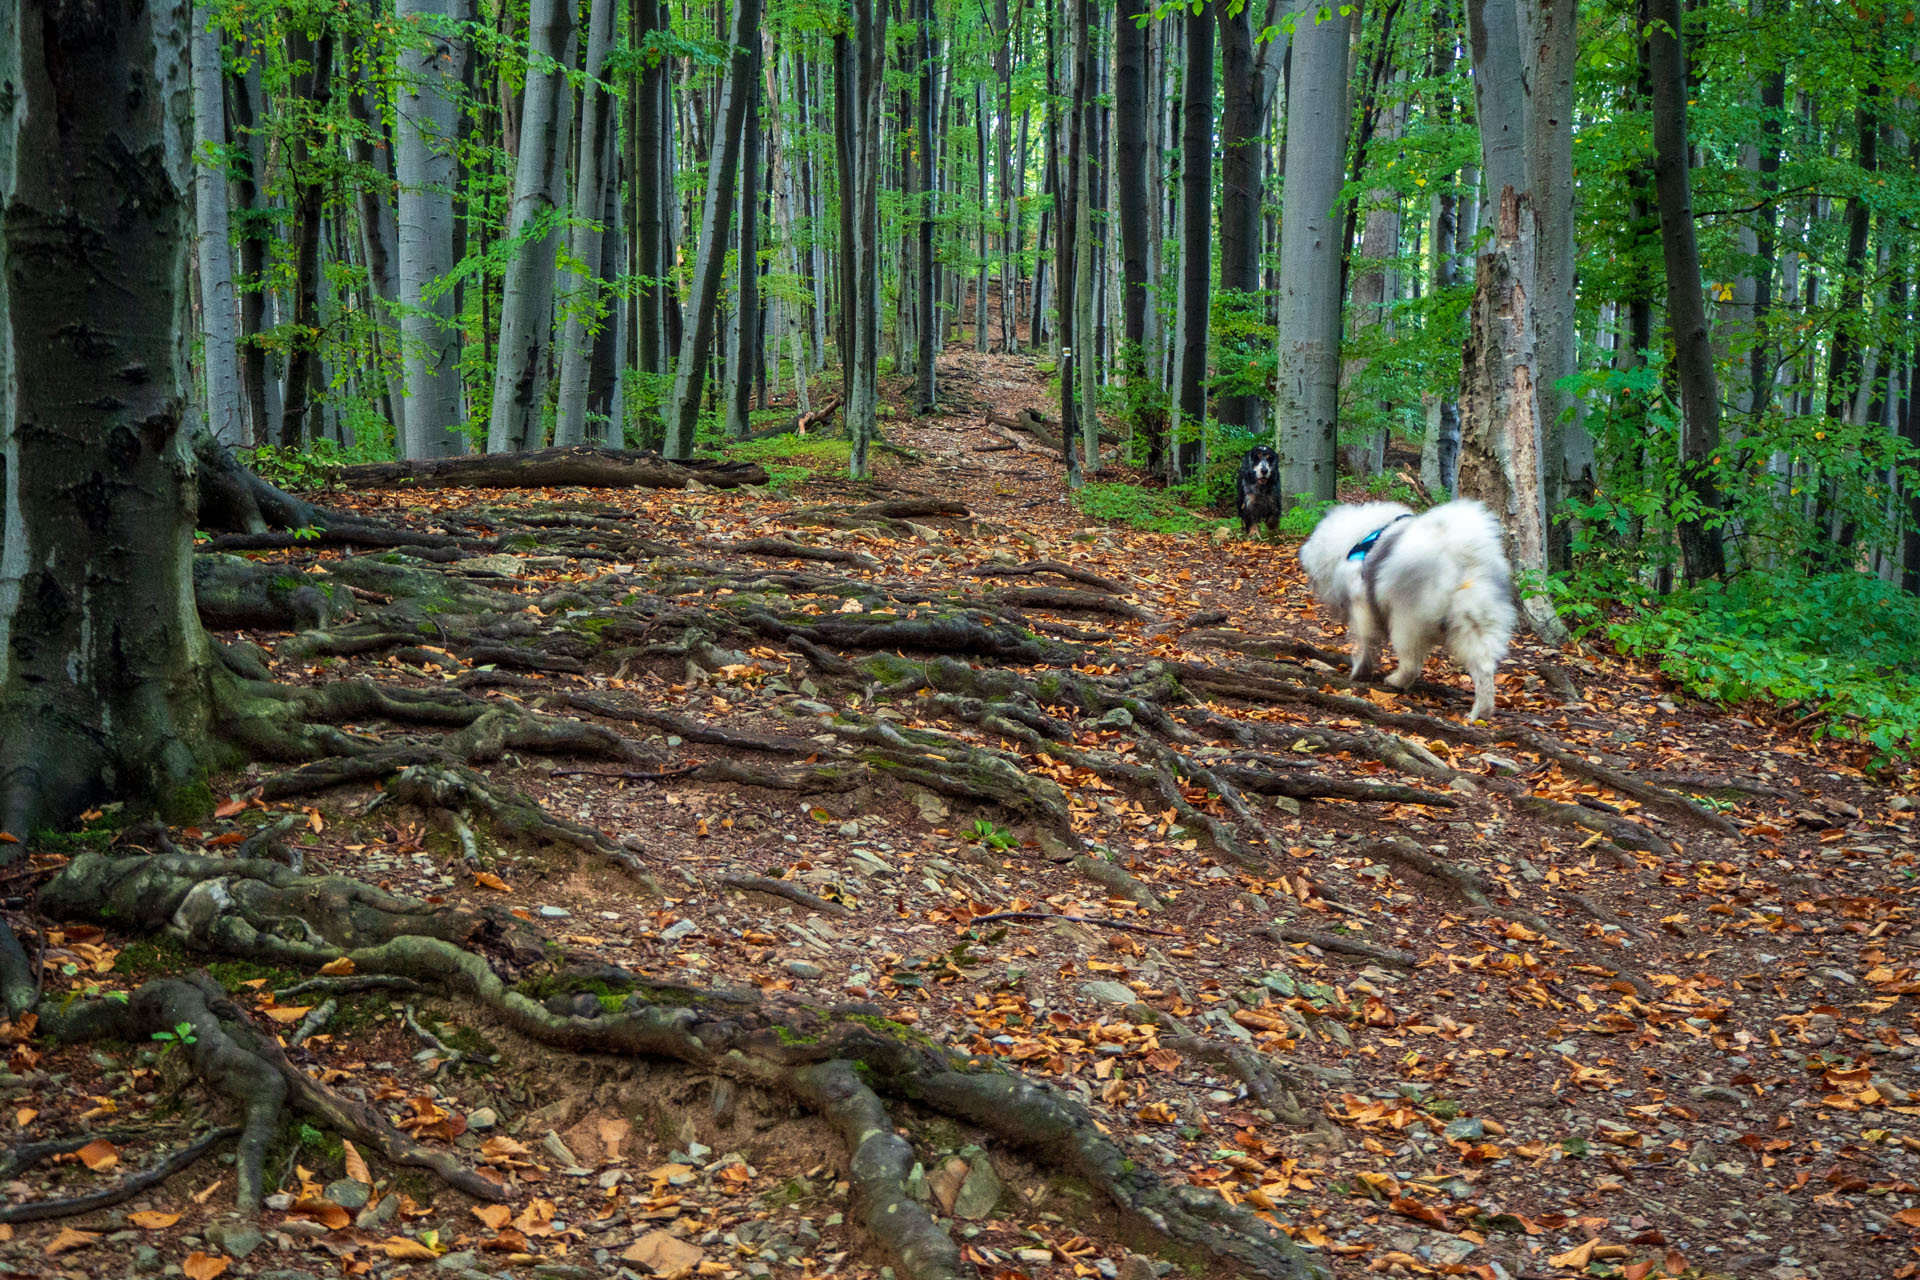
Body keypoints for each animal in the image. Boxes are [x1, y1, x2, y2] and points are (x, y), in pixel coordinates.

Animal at [1305, 498, 1512, 721]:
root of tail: (1458, 554)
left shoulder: (1361, 605)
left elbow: (1363, 644)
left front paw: (1359, 671)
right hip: (1473, 623)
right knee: (1484, 669)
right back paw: (1480, 713)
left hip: (1406, 622)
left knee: (1411, 664)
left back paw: (1395, 681)